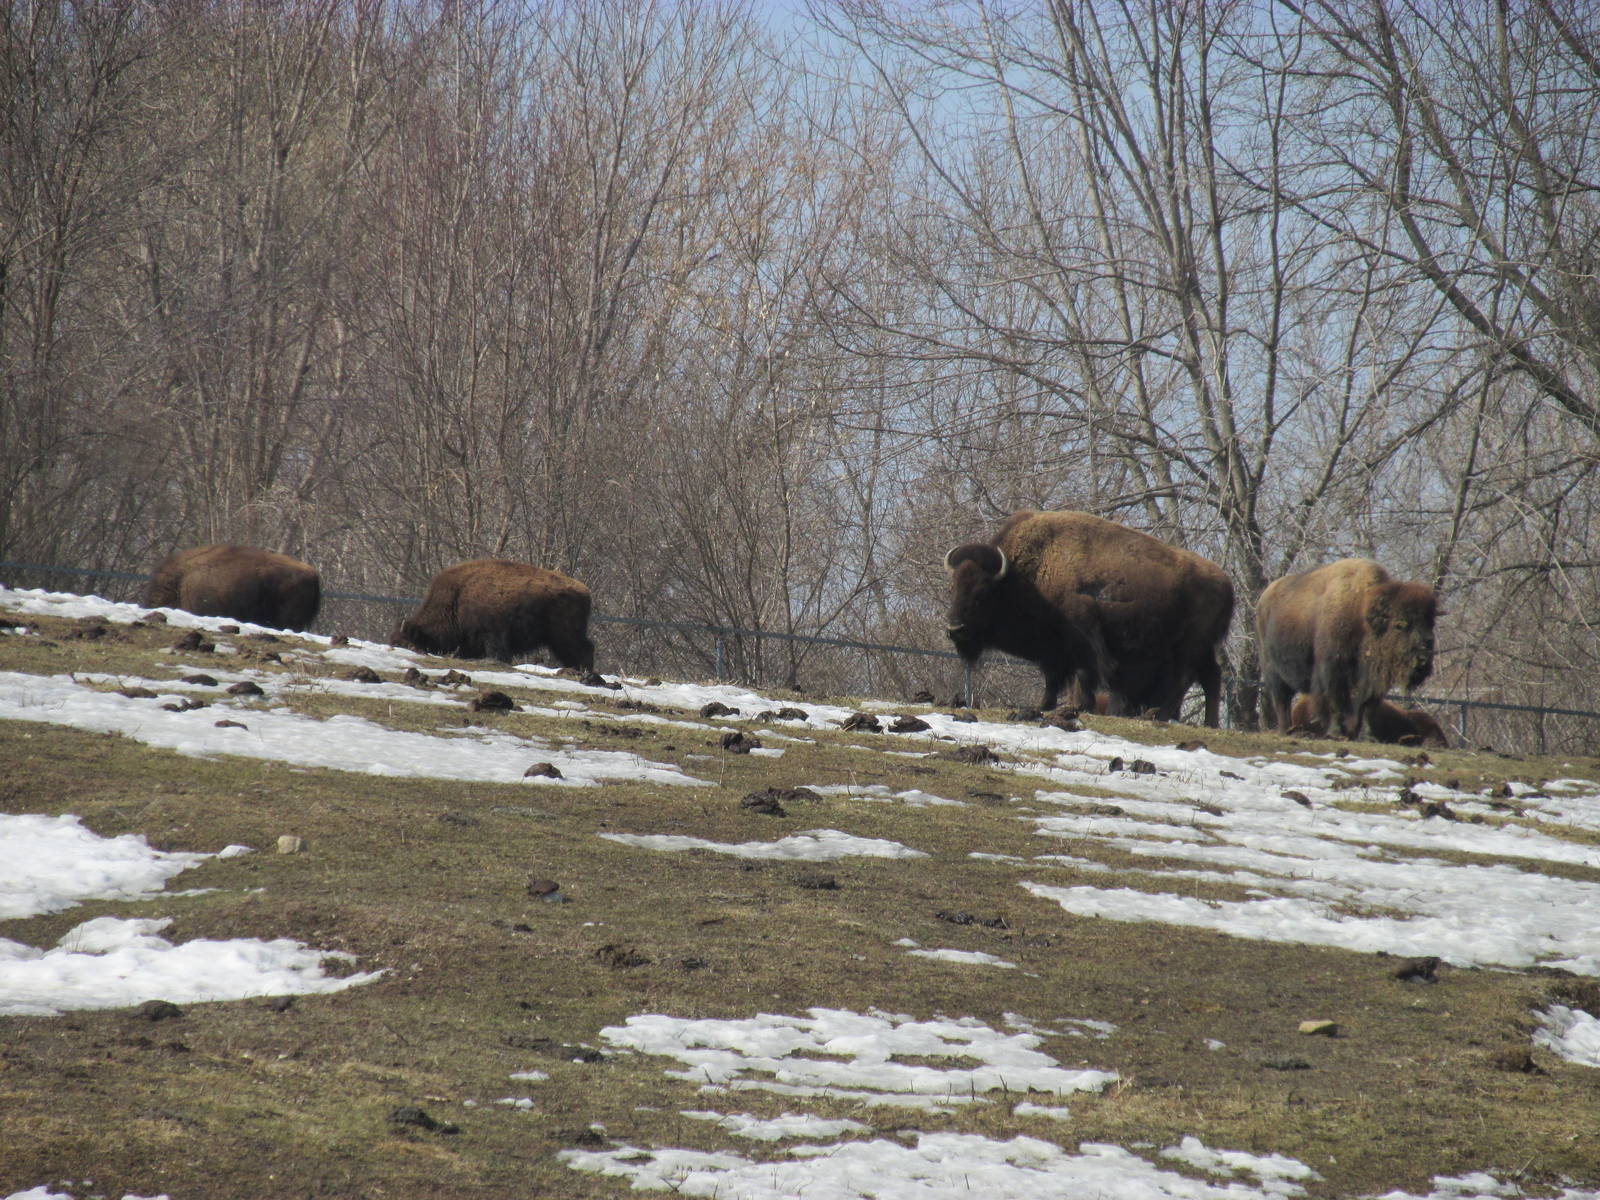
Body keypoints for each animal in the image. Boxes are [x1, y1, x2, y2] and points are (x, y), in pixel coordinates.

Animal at [393, 559, 594, 668]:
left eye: (407, 643)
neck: (456, 599)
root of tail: (584, 591)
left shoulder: (492, 636)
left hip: (564, 635)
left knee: (583, 649)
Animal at [944, 510, 1234, 724]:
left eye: (982, 593)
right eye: (953, 587)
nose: (954, 628)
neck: (1023, 576)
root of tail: (1226, 584)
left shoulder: (1082, 638)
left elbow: (1083, 674)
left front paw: (1080, 707)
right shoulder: (1054, 649)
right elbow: (1053, 678)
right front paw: (1045, 705)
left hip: (1188, 647)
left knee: (1184, 679)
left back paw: (1160, 715)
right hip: (1202, 649)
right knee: (1211, 677)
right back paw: (1209, 722)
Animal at [1256, 558, 1438, 739]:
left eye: (1430, 625)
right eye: (1400, 625)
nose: (1423, 659)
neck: (1361, 613)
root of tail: (1264, 598)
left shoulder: (1367, 681)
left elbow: (1362, 707)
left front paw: (1356, 734)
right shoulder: (1332, 670)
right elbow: (1335, 701)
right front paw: (1336, 733)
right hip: (1273, 669)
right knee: (1282, 699)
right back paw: (1286, 730)